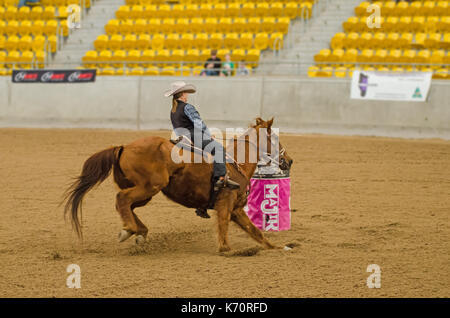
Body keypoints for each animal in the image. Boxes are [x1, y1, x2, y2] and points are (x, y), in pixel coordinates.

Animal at [65, 118, 294, 252]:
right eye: (275, 138)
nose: (289, 160)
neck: (235, 163)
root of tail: (123, 147)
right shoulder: (225, 205)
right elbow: (224, 232)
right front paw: (227, 250)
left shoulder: (236, 209)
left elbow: (256, 232)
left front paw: (278, 247)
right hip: (150, 187)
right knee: (122, 199)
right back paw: (129, 230)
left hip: (145, 193)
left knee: (126, 205)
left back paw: (139, 232)